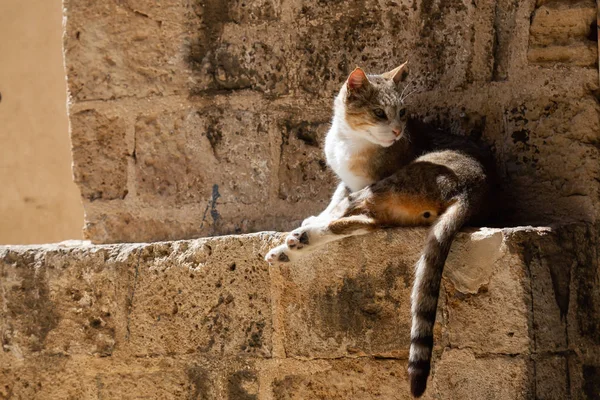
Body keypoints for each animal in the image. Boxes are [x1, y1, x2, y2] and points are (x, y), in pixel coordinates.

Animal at [264, 63, 494, 396]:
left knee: (354, 217)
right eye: (379, 113)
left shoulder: (363, 184)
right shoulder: (346, 183)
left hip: (394, 181)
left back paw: (295, 241)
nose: (398, 131)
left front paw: (311, 223)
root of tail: (472, 193)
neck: (347, 140)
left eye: (403, 112)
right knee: (365, 223)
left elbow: (339, 203)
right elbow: (335, 200)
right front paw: (314, 217)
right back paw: (293, 247)